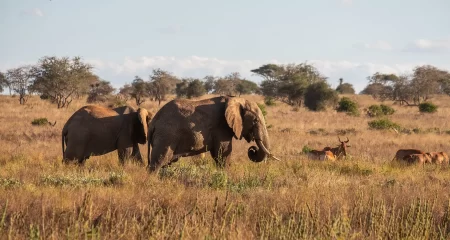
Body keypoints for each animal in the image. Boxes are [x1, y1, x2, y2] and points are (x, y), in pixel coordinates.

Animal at [146, 95, 280, 172]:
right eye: (255, 120)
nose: (252, 149)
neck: (236, 99)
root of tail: (154, 122)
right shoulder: (221, 127)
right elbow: (223, 153)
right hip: (166, 136)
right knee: (158, 162)